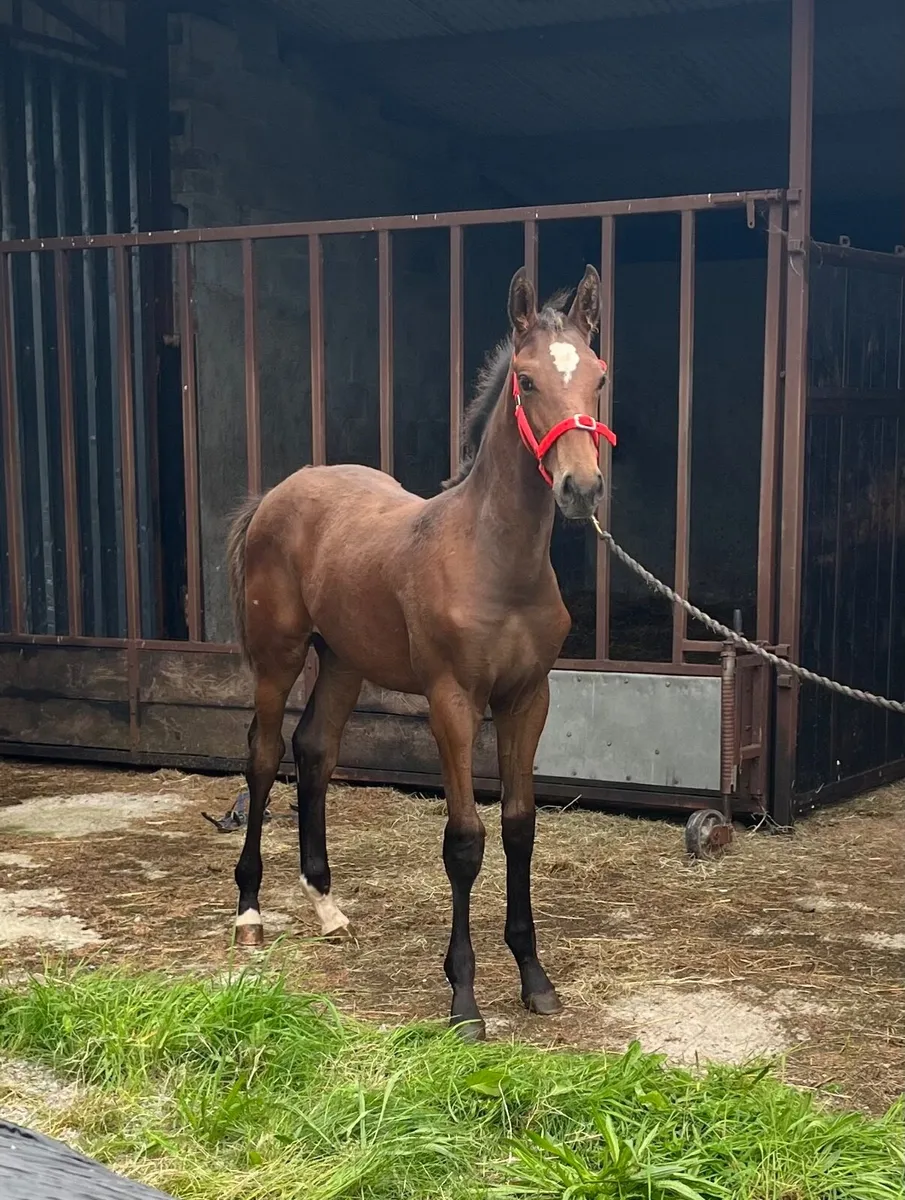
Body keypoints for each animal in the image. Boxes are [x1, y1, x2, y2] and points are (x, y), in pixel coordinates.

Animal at [226, 264, 614, 1039]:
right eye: (527, 380)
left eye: (598, 377)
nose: (580, 488)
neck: (493, 560)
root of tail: (279, 493)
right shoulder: (451, 702)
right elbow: (464, 839)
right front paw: (464, 1000)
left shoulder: (529, 698)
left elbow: (519, 826)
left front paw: (534, 979)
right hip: (279, 655)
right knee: (264, 755)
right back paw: (250, 912)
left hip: (343, 660)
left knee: (315, 750)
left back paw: (327, 907)